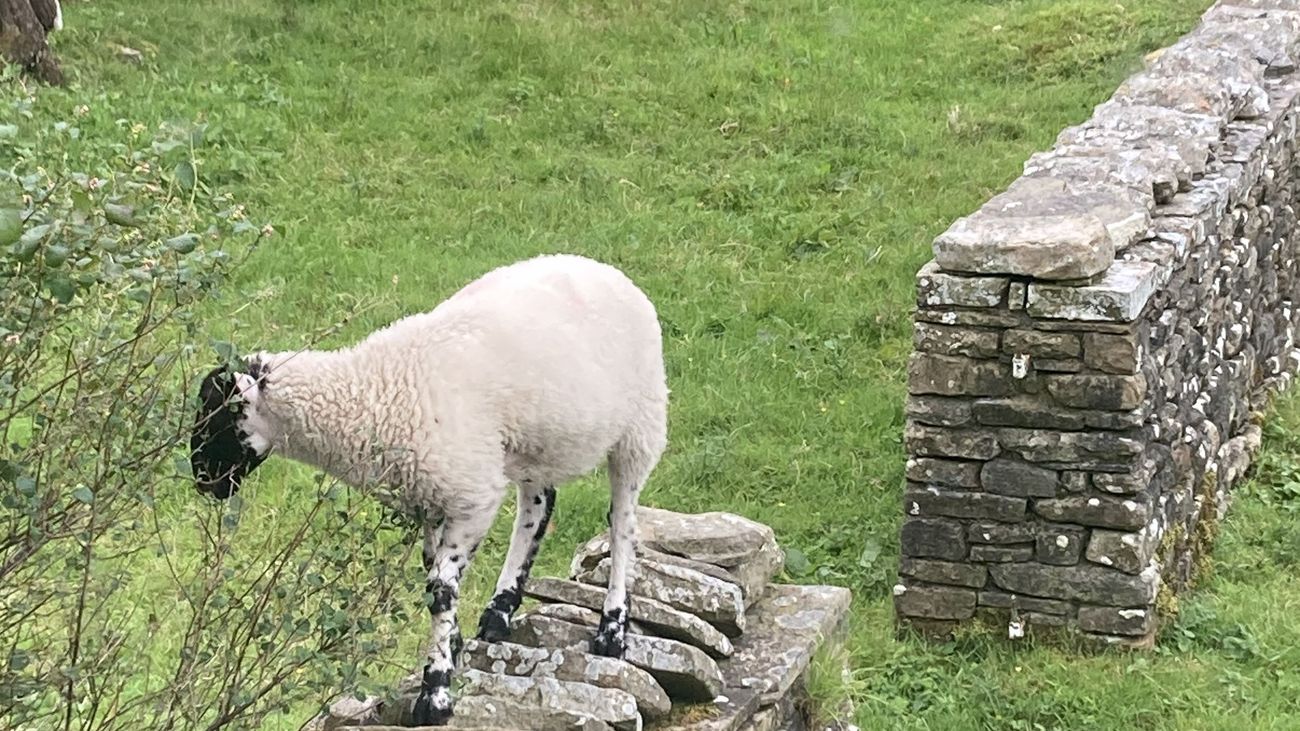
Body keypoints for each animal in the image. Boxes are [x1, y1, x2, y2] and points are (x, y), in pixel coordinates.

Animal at [189, 254, 669, 725]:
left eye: (220, 417)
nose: (202, 481)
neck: (375, 391)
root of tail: (603, 268)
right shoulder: (431, 498)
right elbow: (433, 577)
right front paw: (452, 648)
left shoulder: (472, 496)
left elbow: (440, 591)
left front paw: (435, 693)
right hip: (532, 441)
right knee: (538, 507)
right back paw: (500, 611)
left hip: (640, 427)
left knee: (622, 523)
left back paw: (611, 630)